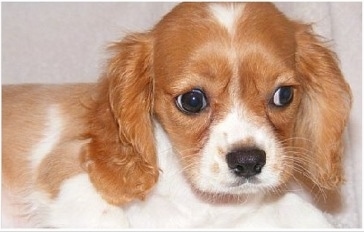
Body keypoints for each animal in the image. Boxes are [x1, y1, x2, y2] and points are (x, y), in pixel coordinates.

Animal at [1, 1, 352, 228]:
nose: (249, 161)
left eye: (284, 95)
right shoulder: (66, 172)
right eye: (192, 100)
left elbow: (298, 210)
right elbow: (108, 218)